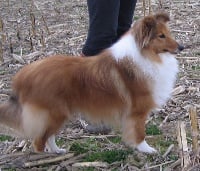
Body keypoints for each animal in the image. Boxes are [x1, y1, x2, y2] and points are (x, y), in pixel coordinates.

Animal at [0, 12, 184, 154]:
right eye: (161, 36)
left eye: (168, 33)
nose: (182, 47)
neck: (145, 55)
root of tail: (23, 75)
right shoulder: (137, 112)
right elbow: (139, 133)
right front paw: (146, 150)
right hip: (54, 112)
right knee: (38, 141)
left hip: (57, 114)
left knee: (48, 135)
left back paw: (57, 151)